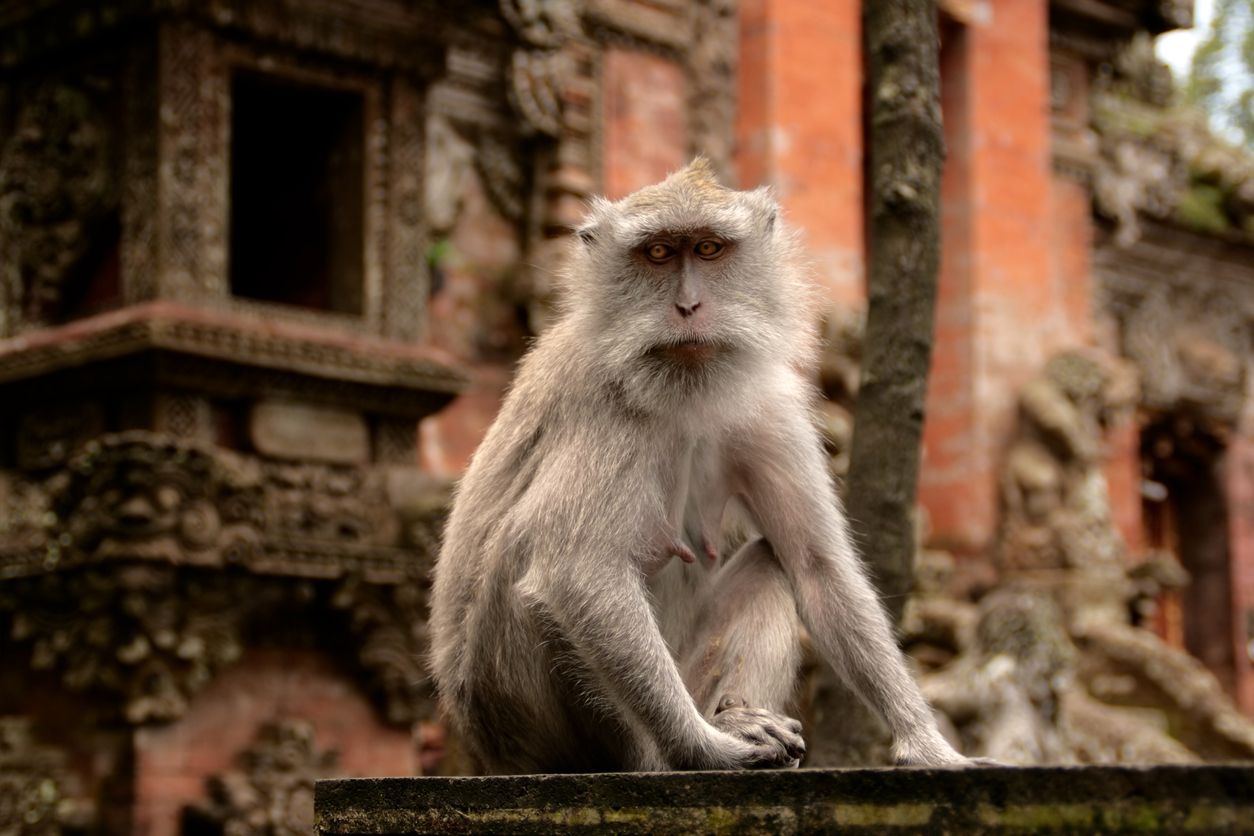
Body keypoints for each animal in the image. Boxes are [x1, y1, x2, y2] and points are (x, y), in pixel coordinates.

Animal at [428, 158, 970, 773]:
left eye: (709, 249)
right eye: (659, 253)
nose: (687, 307)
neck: (685, 392)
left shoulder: (769, 403)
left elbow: (815, 566)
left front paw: (925, 741)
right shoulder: (606, 402)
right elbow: (577, 570)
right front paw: (706, 749)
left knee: (769, 564)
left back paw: (736, 715)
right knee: (527, 549)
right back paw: (682, 749)